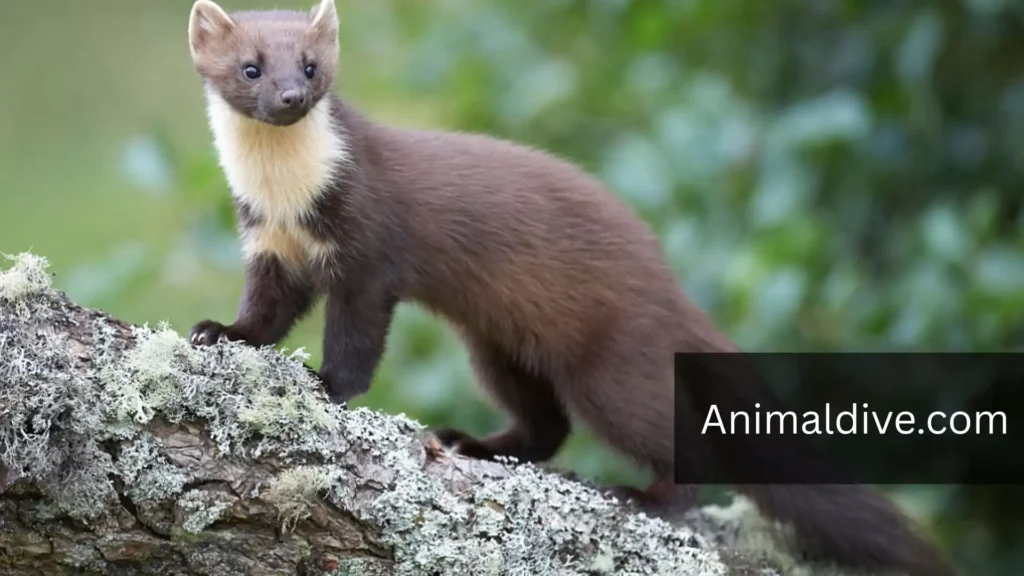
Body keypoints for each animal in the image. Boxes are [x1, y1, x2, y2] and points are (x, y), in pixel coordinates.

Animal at [184, 1, 955, 574]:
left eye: (312, 66)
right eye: (251, 67)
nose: (289, 95)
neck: (288, 196)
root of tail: (666, 282)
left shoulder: (370, 252)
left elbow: (357, 336)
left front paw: (327, 386)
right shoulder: (269, 246)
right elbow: (267, 312)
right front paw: (219, 332)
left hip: (610, 367)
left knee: (671, 435)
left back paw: (644, 497)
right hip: (497, 345)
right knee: (544, 423)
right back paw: (475, 443)